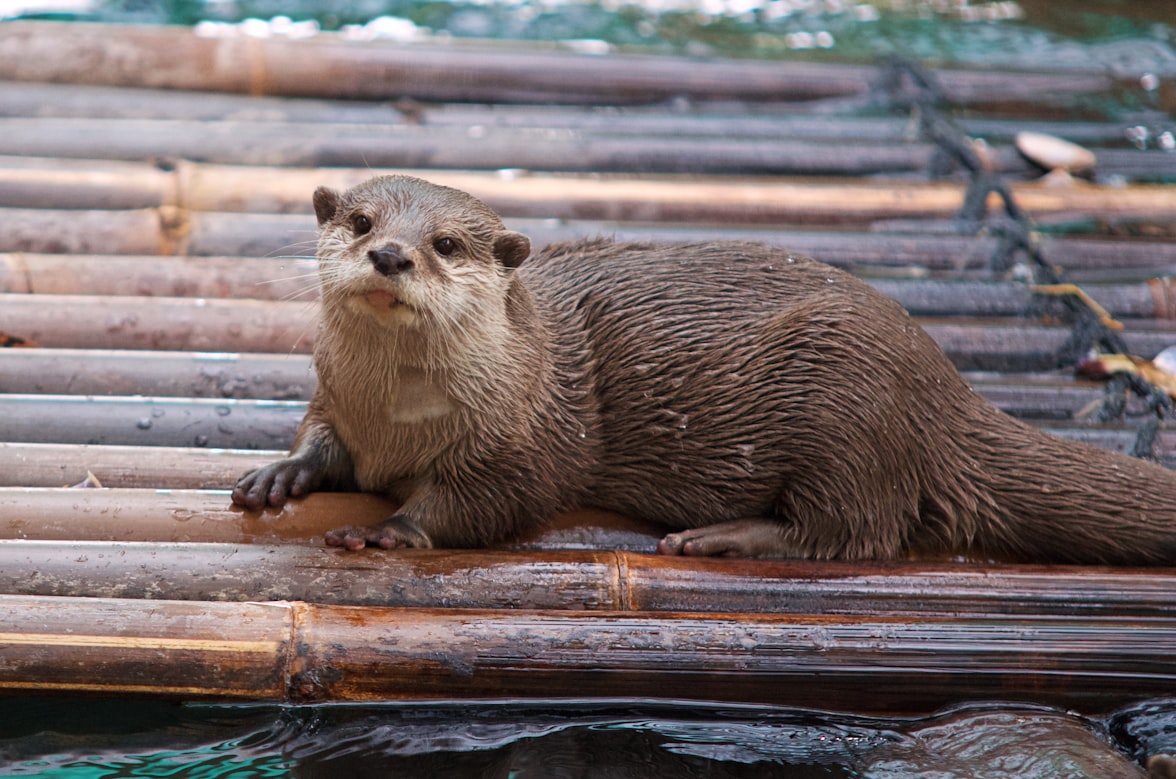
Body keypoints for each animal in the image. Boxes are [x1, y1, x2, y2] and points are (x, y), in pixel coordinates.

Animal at [231, 175, 1176, 567]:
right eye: (360, 221)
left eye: (448, 243)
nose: (390, 253)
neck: (399, 418)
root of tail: (945, 388)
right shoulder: (336, 397)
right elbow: (320, 436)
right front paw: (281, 473)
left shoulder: (530, 438)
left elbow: (489, 503)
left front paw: (391, 529)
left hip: (847, 394)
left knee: (858, 528)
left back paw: (724, 535)